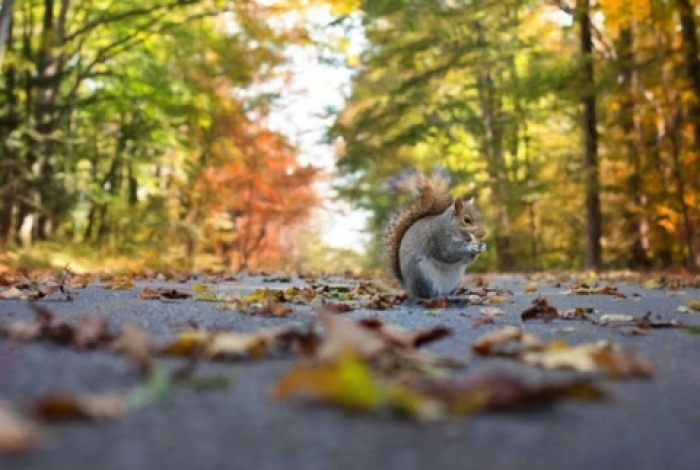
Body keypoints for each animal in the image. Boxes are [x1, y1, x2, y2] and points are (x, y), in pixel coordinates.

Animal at [382, 168, 486, 298]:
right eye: (466, 220)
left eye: (481, 216)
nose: (483, 234)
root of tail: (409, 289)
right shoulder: (438, 238)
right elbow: (449, 253)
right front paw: (471, 246)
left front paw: (483, 246)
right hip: (422, 275)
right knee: (430, 294)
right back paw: (441, 297)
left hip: (455, 280)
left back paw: (455, 295)